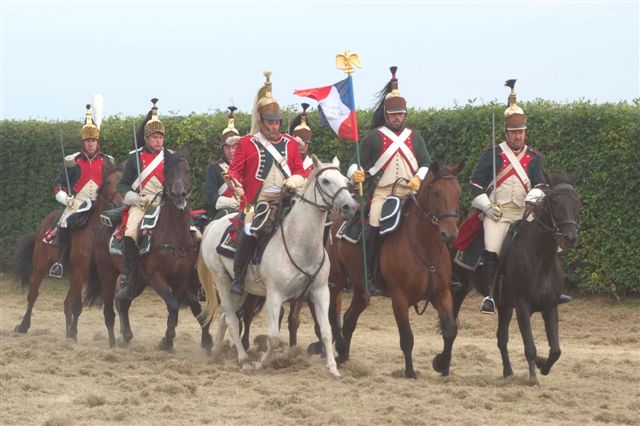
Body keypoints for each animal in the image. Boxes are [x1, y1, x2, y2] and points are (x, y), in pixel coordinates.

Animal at [13, 161, 123, 342]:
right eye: (108, 182)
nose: (119, 205)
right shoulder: (81, 270)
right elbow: (77, 305)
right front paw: (73, 334)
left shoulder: (108, 272)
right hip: (41, 266)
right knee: (33, 295)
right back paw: (23, 326)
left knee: (66, 302)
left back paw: (67, 331)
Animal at [82, 146, 212, 350]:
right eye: (168, 172)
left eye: (188, 170)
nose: (179, 195)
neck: (174, 235)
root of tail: (104, 226)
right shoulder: (156, 276)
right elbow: (173, 305)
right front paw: (167, 340)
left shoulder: (181, 279)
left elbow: (178, 307)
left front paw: (169, 340)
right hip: (108, 275)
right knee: (110, 310)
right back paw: (113, 343)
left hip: (138, 280)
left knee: (123, 301)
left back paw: (126, 335)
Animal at [198, 156, 358, 376]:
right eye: (325, 181)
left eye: (345, 180)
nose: (349, 206)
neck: (299, 242)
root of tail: (214, 224)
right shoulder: (275, 295)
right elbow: (273, 337)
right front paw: (261, 363)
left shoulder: (320, 292)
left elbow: (326, 331)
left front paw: (333, 369)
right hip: (223, 282)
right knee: (231, 319)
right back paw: (244, 360)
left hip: (240, 291)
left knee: (224, 317)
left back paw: (215, 353)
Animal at [328, 161, 462, 378]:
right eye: (436, 192)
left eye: (458, 192)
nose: (450, 234)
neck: (425, 245)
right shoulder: (399, 298)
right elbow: (407, 337)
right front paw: (410, 372)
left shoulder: (442, 293)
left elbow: (450, 330)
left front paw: (441, 363)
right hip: (336, 281)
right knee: (333, 314)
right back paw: (339, 349)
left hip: (361, 289)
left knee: (349, 319)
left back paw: (343, 356)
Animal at [452, 171, 584, 384]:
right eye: (554, 201)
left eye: (577, 202)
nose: (570, 238)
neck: (541, 258)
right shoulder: (523, 306)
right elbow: (530, 347)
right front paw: (533, 377)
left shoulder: (550, 306)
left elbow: (556, 350)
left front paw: (542, 365)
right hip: (459, 290)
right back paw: (442, 364)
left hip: (504, 305)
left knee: (501, 338)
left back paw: (508, 372)